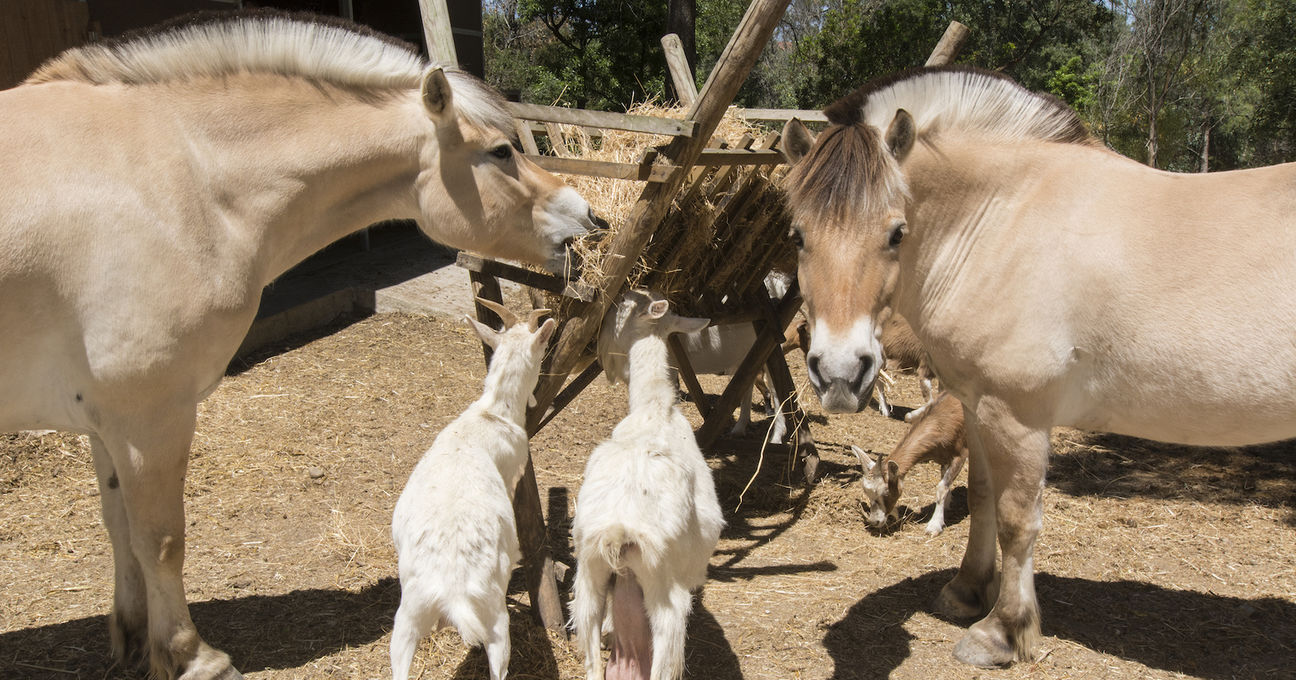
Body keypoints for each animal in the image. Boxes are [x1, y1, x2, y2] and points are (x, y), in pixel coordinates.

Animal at [386, 300, 554, 678]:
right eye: (542, 352)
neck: (491, 414)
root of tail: (453, 592)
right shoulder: (511, 469)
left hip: (406, 621)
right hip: (495, 621)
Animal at [578, 290, 730, 678]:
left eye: (620, 307)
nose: (598, 349)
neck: (654, 409)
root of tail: (620, 530)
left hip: (589, 580)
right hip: (664, 594)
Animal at [855, 388, 969, 533]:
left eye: (885, 493)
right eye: (868, 493)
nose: (875, 521)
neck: (942, 421)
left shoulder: (960, 455)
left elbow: (941, 487)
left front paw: (934, 525)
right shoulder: (944, 458)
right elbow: (944, 483)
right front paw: (947, 504)